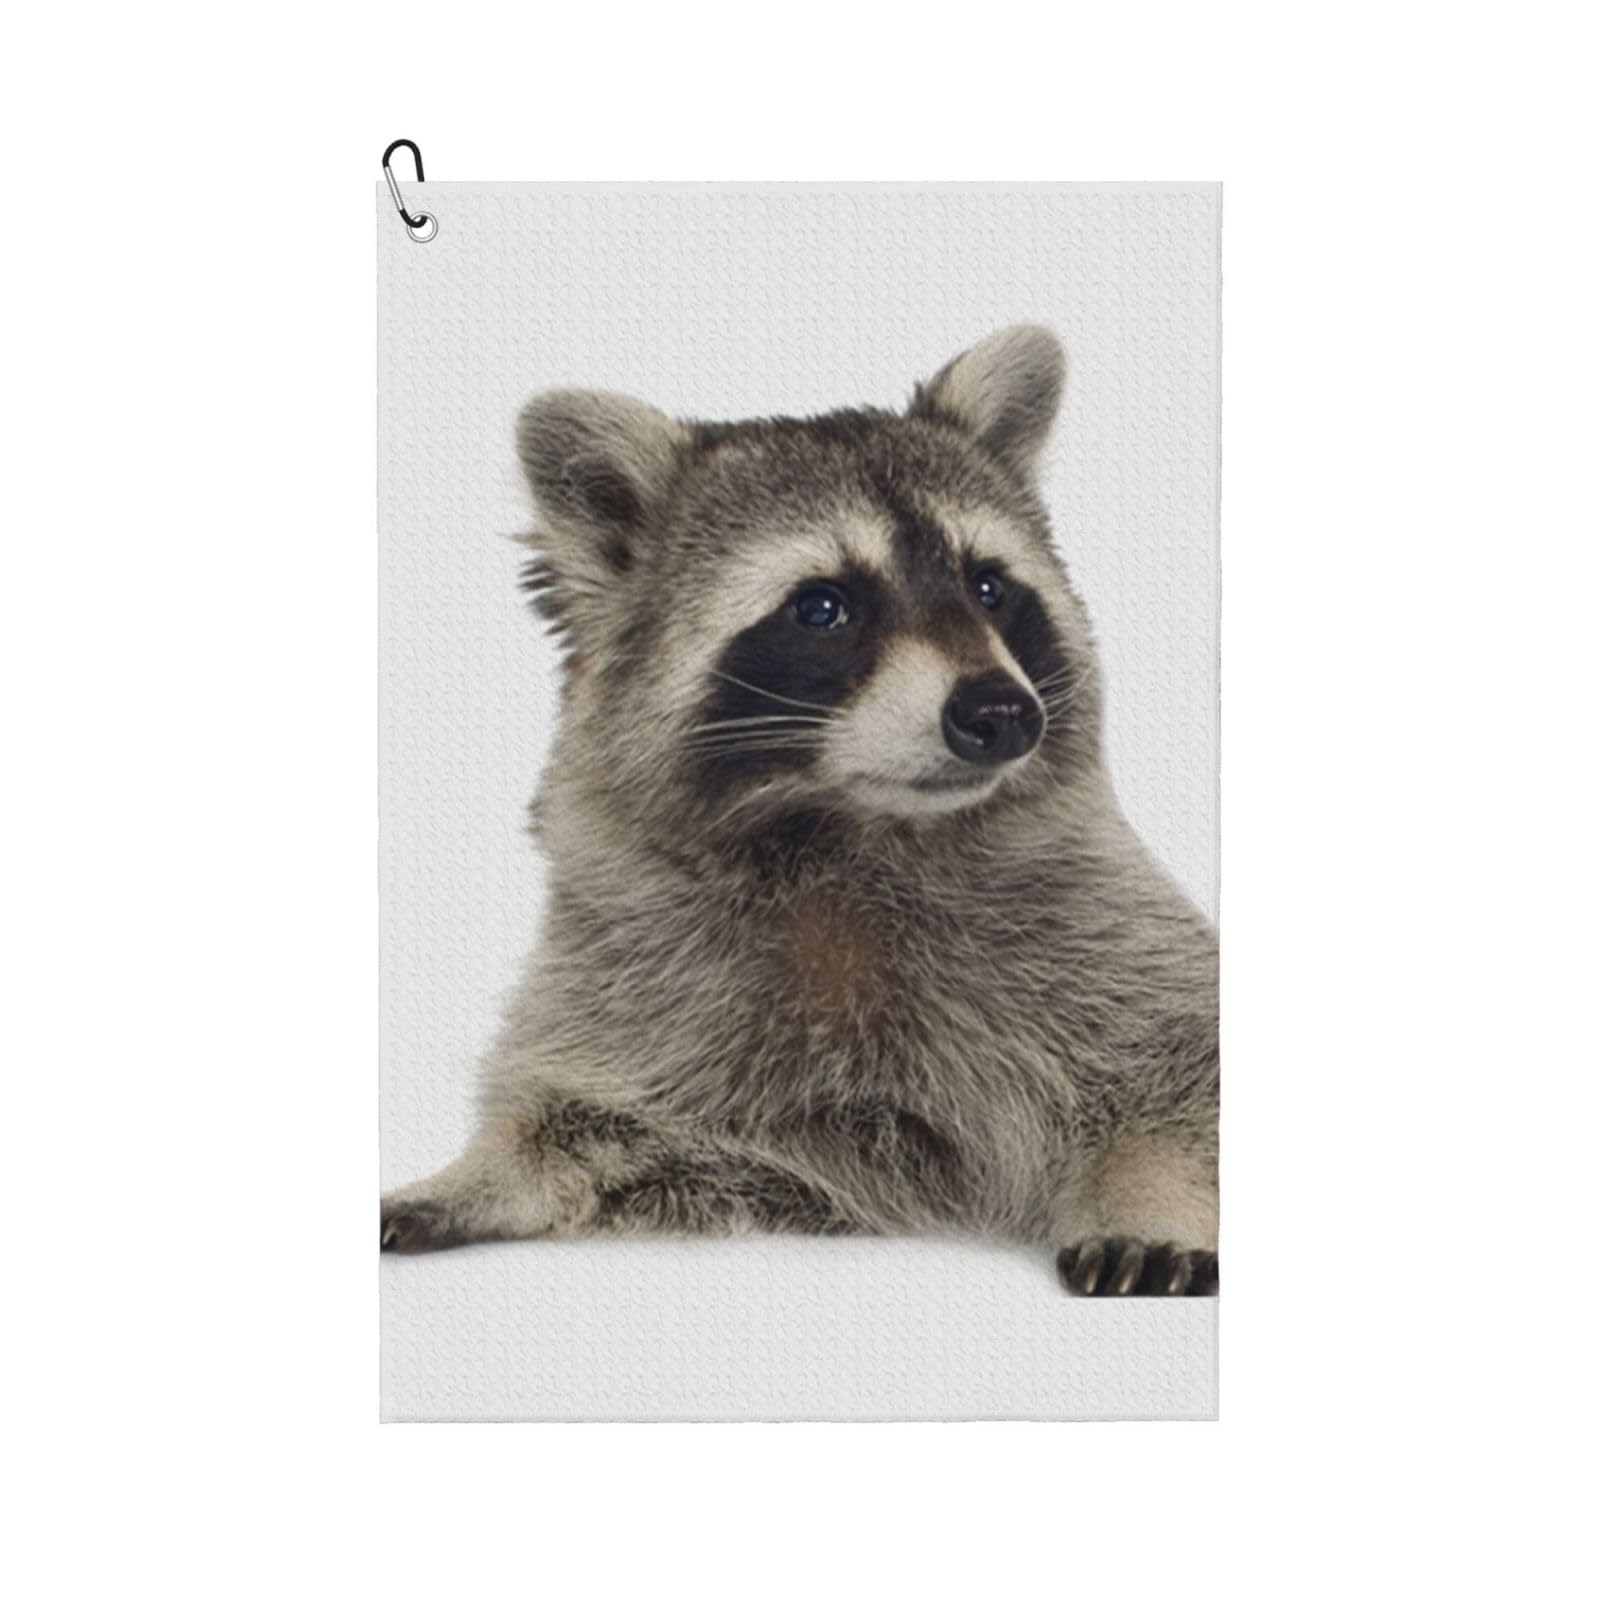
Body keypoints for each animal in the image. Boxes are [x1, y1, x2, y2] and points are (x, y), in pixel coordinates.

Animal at [380, 326, 1219, 1296]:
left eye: (988, 587)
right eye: (822, 608)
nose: (1002, 713)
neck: (848, 828)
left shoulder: (1109, 924)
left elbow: (1186, 1072)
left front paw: (1149, 1191)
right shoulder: (640, 982)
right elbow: (584, 1122)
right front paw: (479, 1171)